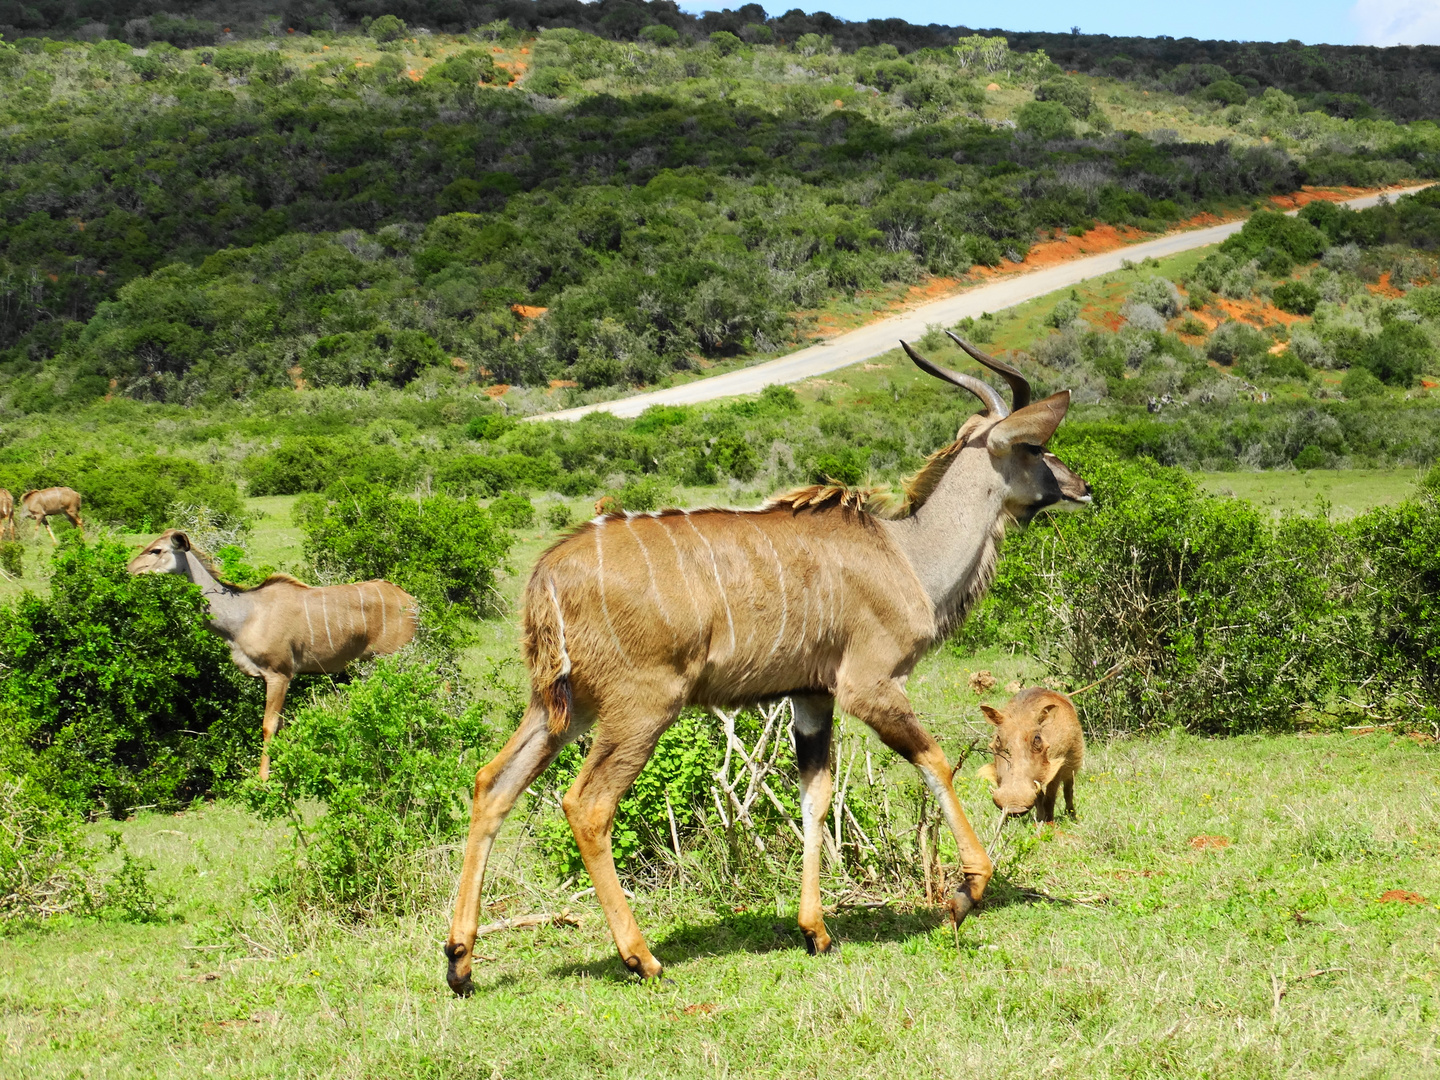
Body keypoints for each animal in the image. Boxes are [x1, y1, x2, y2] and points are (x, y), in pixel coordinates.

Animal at [128, 529, 417, 777]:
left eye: (156, 550)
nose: (129, 570)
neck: (244, 615)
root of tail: (412, 601)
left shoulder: (280, 674)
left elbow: (269, 725)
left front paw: (263, 777)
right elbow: (282, 724)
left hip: (394, 657)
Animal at [440, 336, 1088, 996]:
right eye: (1034, 446)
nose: (1080, 485)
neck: (907, 554)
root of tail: (547, 573)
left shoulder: (811, 696)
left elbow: (815, 797)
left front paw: (815, 931)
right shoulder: (870, 686)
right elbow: (935, 762)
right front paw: (966, 892)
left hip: (562, 709)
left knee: (492, 784)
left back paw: (460, 960)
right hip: (639, 709)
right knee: (588, 805)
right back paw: (641, 957)